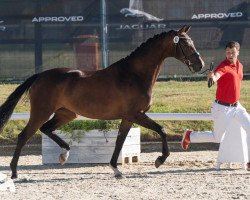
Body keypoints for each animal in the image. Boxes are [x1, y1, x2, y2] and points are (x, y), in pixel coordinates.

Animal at [0, 25, 205, 178]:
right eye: (185, 44)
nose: (199, 65)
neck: (135, 75)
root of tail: (40, 75)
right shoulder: (136, 114)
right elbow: (161, 130)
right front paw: (159, 160)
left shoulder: (129, 117)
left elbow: (120, 141)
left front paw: (116, 169)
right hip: (41, 112)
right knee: (24, 135)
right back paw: (14, 173)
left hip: (66, 113)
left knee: (46, 129)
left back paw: (64, 154)